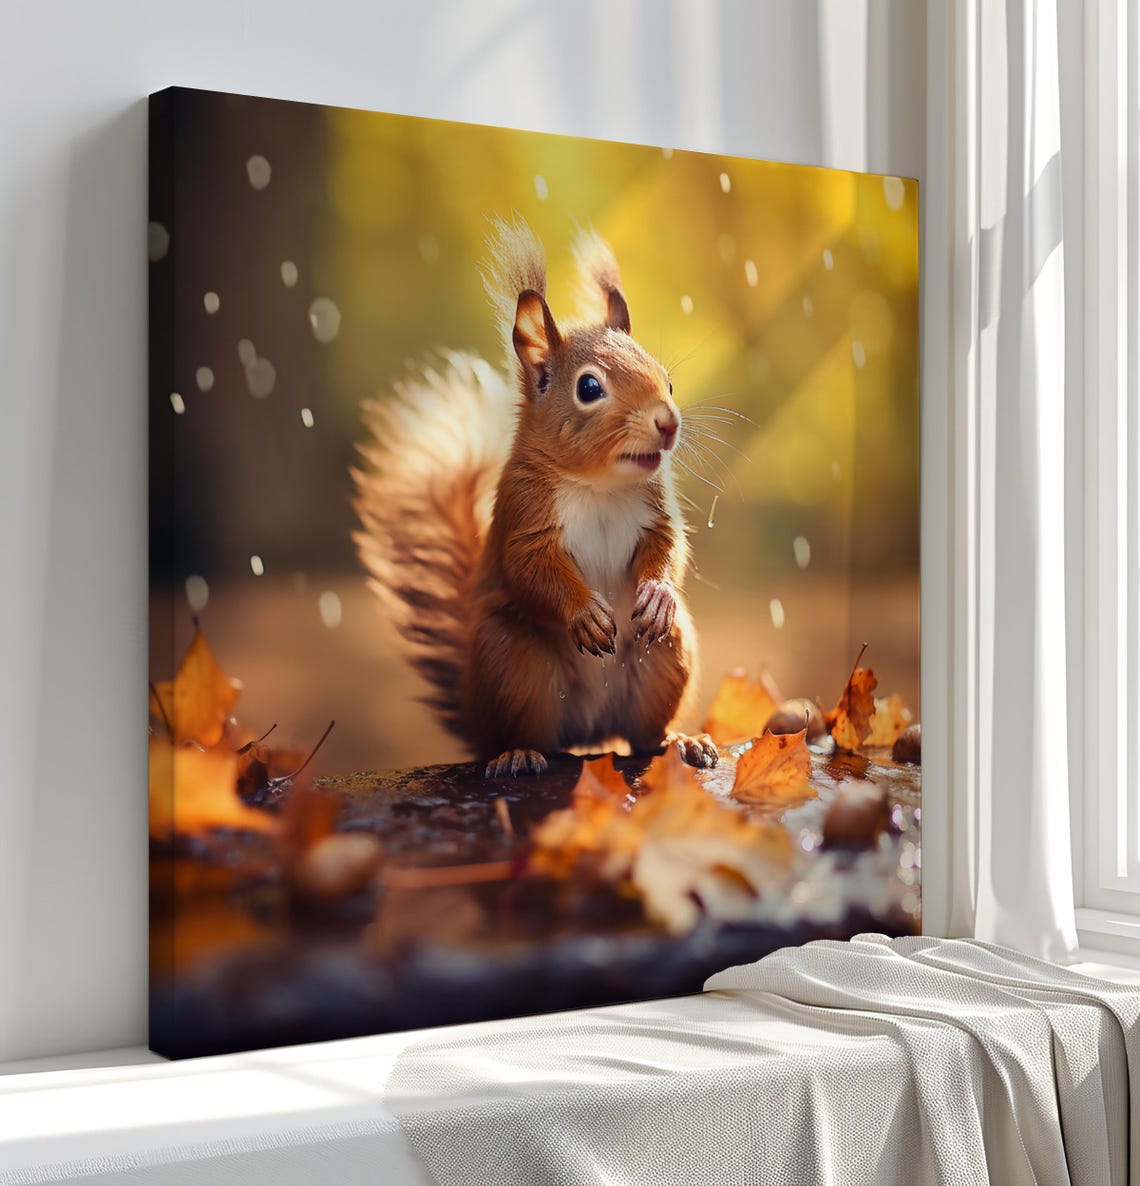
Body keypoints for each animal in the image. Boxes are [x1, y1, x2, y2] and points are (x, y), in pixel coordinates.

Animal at [353, 217, 717, 778]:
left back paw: (679, 742)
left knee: (644, 737)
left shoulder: (655, 509)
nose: (668, 422)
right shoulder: (524, 514)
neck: (598, 485)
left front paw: (657, 593)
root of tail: (589, 736)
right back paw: (518, 753)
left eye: (669, 380)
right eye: (589, 388)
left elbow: (669, 547)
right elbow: (531, 569)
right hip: (513, 663)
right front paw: (584, 614)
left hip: (666, 658)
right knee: (527, 731)